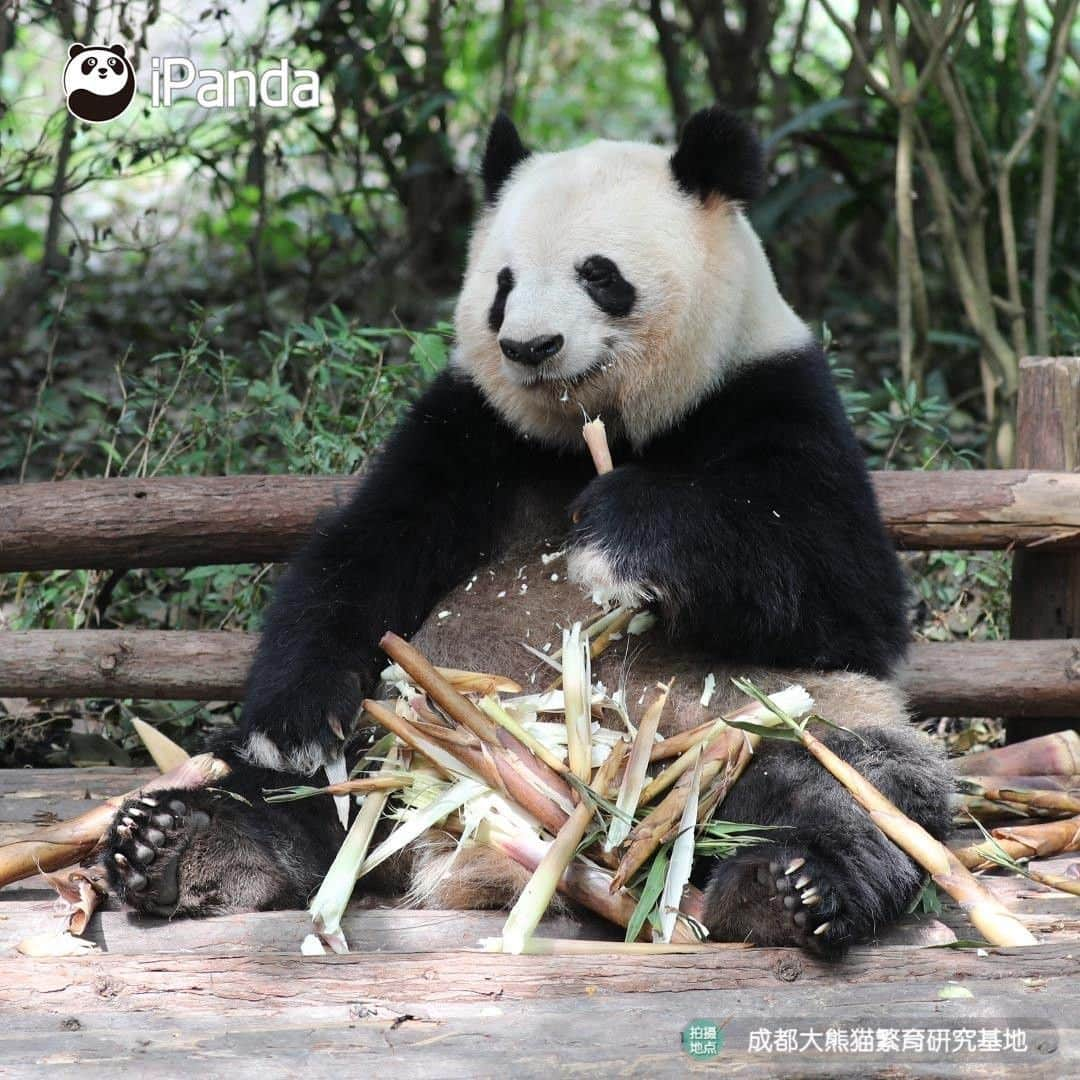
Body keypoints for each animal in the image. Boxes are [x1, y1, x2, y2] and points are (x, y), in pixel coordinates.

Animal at [105, 109, 950, 950]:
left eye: (599, 274)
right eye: (502, 284)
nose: (529, 347)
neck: (595, 430)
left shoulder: (776, 397)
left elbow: (846, 594)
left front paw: (618, 535)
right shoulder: (468, 429)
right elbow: (360, 561)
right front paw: (295, 720)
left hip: (763, 721)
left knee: (851, 782)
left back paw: (791, 887)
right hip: (389, 738)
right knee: (279, 791)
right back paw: (182, 845)